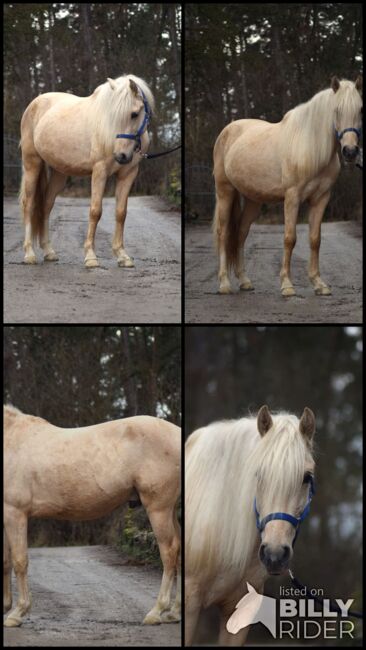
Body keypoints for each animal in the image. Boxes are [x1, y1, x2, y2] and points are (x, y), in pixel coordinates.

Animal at [2, 408, 180, 624]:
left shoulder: (15, 512)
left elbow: (19, 561)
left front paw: (17, 612)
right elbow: (5, 561)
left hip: (159, 509)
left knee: (169, 552)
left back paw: (156, 612)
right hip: (170, 510)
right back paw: (174, 612)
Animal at [20, 74, 154, 268]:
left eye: (134, 114)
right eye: (113, 116)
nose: (120, 156)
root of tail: (34, 104)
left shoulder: (128, 174)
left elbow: (121, 213)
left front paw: (122, 256)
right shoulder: (100, 171)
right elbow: (95, 211)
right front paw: (91, 257)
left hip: (59, 173)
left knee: (46, 206)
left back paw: (49, 252)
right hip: (32, 164)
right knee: (29, 205)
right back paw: (29, 254)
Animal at [213, 76, 362, 296]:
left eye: (360, 109)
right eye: (336, 110)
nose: (350, 151)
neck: (310, 147)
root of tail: (227, 131)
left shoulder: (321, 198)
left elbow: (315, 239)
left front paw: (319, 284)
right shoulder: (292, 197)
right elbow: (289, 238)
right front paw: (287, 285)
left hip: (252, 200)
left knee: (240, 234)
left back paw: (245, 281)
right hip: (225, 191)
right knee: (223, 233)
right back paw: (224, 283)